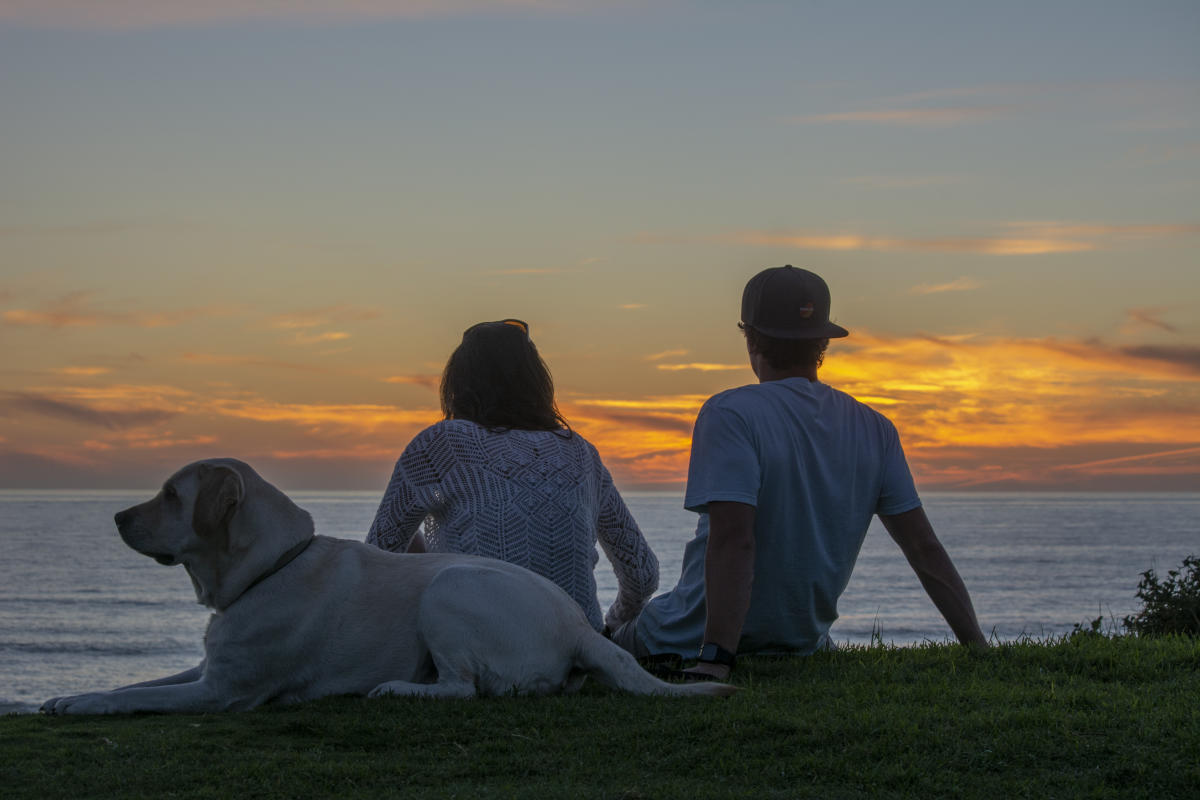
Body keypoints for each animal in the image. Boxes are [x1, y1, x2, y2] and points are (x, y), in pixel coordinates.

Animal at [39, 460, 729, 714]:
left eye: (169, 495)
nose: (116, 517)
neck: (267, 567)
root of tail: (581, 627)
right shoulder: (207, 670)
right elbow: (138, 684)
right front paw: (64, 696)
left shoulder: (224, 693)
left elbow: (135, 699)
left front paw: (80, 703)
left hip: (450, 587)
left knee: (463, 688)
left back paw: (398, 688)